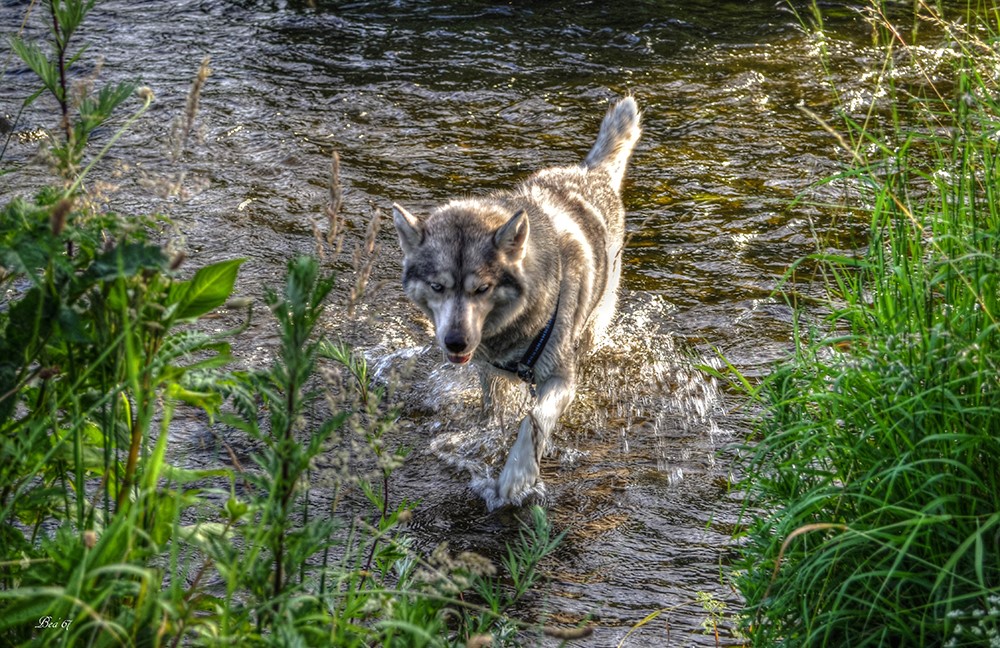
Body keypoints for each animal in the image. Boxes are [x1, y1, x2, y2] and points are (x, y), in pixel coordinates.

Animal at [390, 96, 640, 512]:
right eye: (438, 286)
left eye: (482, 288)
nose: (455, 342)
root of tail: (590, 172)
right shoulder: (488, 372)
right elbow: (493, 415)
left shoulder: (560, 379)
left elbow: (532, 422)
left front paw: (515, 478)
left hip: (594, 326)